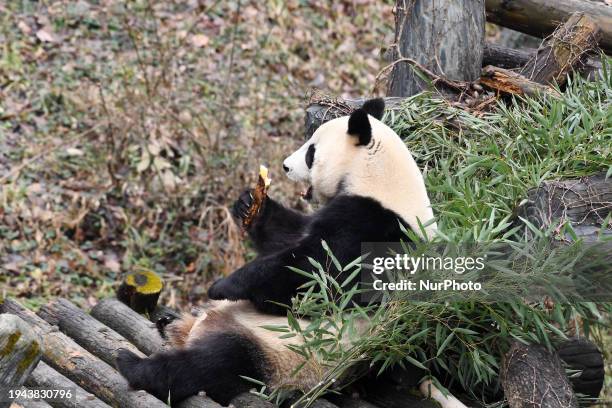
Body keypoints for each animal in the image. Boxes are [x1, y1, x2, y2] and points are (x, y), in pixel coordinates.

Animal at [116, 99, 464, 408]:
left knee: (211, 364)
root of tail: (198, 331)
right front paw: (251, 204)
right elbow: (289, 235)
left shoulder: (373, 231)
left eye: (311, 151)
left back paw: (133, 364)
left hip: (278, 356)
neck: (382, 181)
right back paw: (167, 321)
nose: (285, 165)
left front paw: (225, 285)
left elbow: (313, 279)